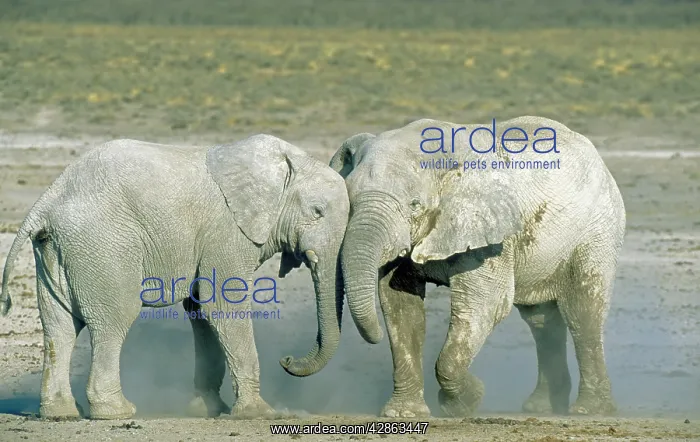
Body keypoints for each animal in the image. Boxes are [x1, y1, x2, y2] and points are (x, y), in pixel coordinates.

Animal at [0, 134, 350, 420]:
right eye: (317, 211)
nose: (286, 360)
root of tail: (46, 202)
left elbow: (201, 312)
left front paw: (211, 410)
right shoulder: (226, 232)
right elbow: (223, 307)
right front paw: (261, 414)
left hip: (54, 251)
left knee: (58, 327)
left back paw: (60, 414)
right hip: (103, 246)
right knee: (112, 321)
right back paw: (115, 412)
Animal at [330, 116, 626, 418]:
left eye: (415, 205)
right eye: (348, 201)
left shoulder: (488, 231)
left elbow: (487, 304)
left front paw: (464, 402)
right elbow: (400, 306)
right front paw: (403, 413)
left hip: (598, 228)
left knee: (583, 311)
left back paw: (590, 410)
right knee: (540, 319)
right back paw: (544, 408)